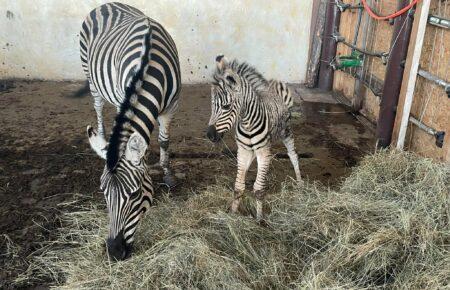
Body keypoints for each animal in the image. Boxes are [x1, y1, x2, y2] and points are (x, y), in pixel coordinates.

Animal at [78, 1, 181, 260]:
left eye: (134, 194)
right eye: (103, 192)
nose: (114, 252)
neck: (148, 66)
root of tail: (107, 4)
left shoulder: (171, 107)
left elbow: (164, 141)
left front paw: (167, 173)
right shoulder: (121, 96)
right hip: (92, 77)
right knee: (98, 105)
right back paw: (102, 136)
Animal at [207, 55, 302, 221]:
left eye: (226, 106)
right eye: (212, 105)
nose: (210, 135)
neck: (247, 123)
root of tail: (273, 91)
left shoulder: (263, 152)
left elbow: (258, 189)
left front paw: (259, 219)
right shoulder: (243, 150)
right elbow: (238, 187)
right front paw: (233, 213)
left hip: (286, 132)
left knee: (293, 155)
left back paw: (300, 182)